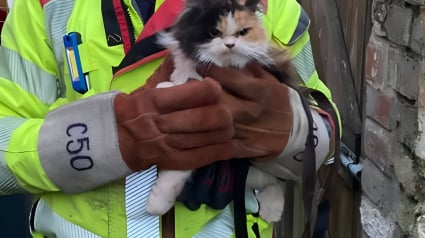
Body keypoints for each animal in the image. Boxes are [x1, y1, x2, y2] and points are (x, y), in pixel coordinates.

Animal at [147, 0, 300, 223]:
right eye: (214, 32)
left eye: (243, 32)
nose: (230, 45)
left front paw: (156, 205)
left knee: (278, 181)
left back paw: (272, 211)